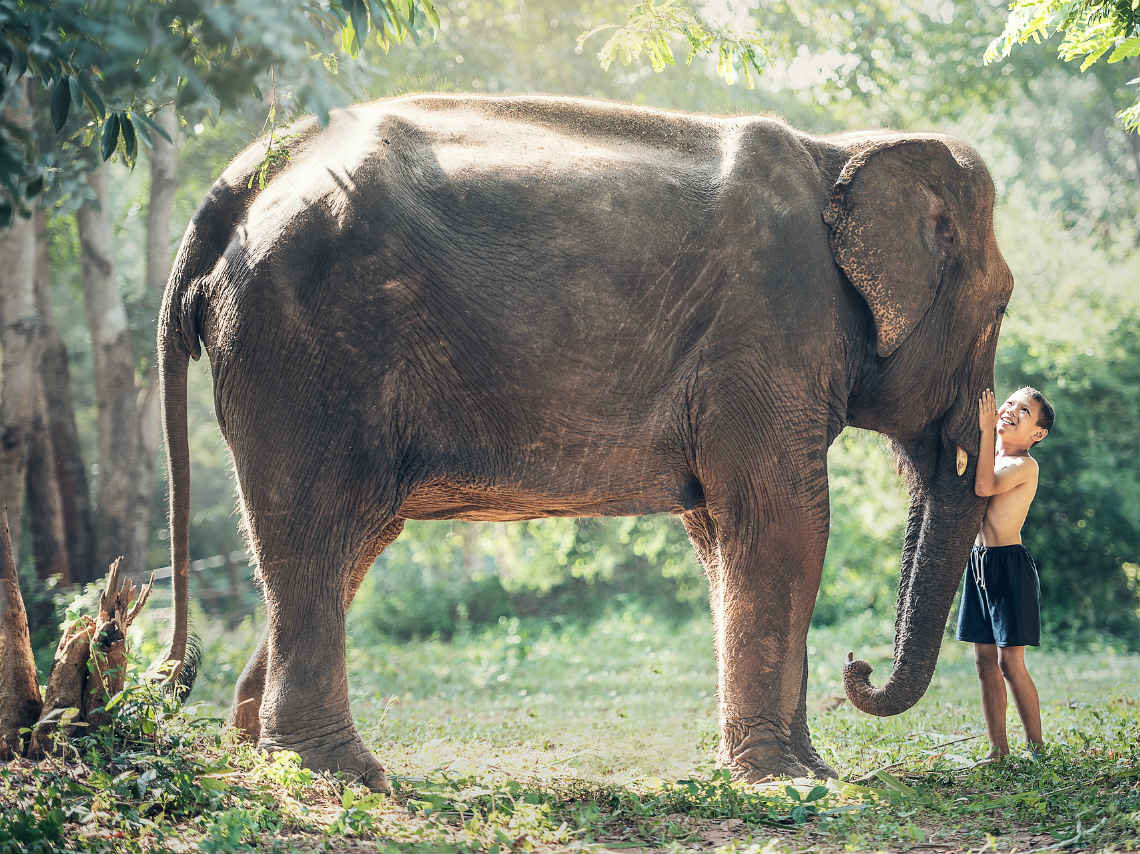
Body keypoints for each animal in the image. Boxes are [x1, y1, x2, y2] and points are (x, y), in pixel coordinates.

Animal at [156, 91, 1012, 784]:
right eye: (1003, 304)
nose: (858, 666)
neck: (839, 149)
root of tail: (244, 179)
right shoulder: (768, 329)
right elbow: (784, 525)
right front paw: (791, 780)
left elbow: (721, 536)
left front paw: (805, 770)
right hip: (307, 348)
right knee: (317, 527)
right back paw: (342, 775)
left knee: (347, 542)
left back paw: (256, 752)